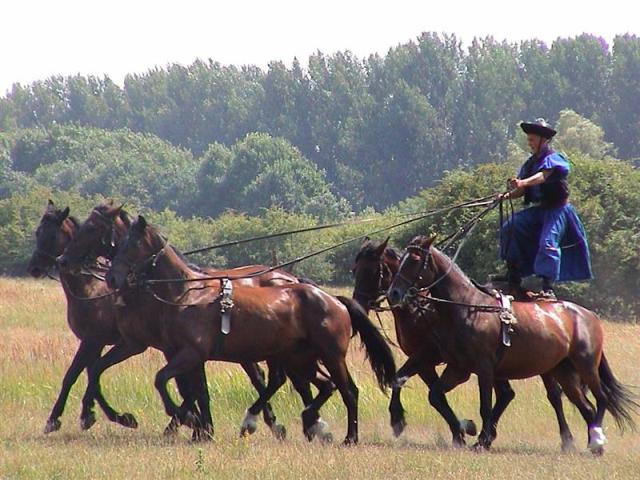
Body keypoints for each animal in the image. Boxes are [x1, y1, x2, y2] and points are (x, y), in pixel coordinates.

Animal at [101, 216, 396, 444]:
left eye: (132, 244)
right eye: (117, 244)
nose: (112, 278)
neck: (186, 293)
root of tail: (334, 300)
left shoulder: (190, 354)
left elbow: (163, 381)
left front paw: (189, 420)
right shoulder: (189, 356)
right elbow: (197, 392)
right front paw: (201, 429)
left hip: (330, 356)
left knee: (348, 391)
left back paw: (348, 437)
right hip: (299, 358)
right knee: (321, 386)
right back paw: (306, 421)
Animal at [388, 236, 636, 454]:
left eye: (414, 260)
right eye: (400, 260)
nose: (394, 293)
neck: (468, 308)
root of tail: (589, 316)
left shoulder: (484, 369)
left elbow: (485, 406)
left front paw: (481, 440)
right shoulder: (458, 369)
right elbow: (433, 394)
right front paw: (465, 429)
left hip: (586, 366)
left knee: (600, 398)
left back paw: (596, 441)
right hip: (563, 372)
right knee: (586, 407)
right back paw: (593, 445)